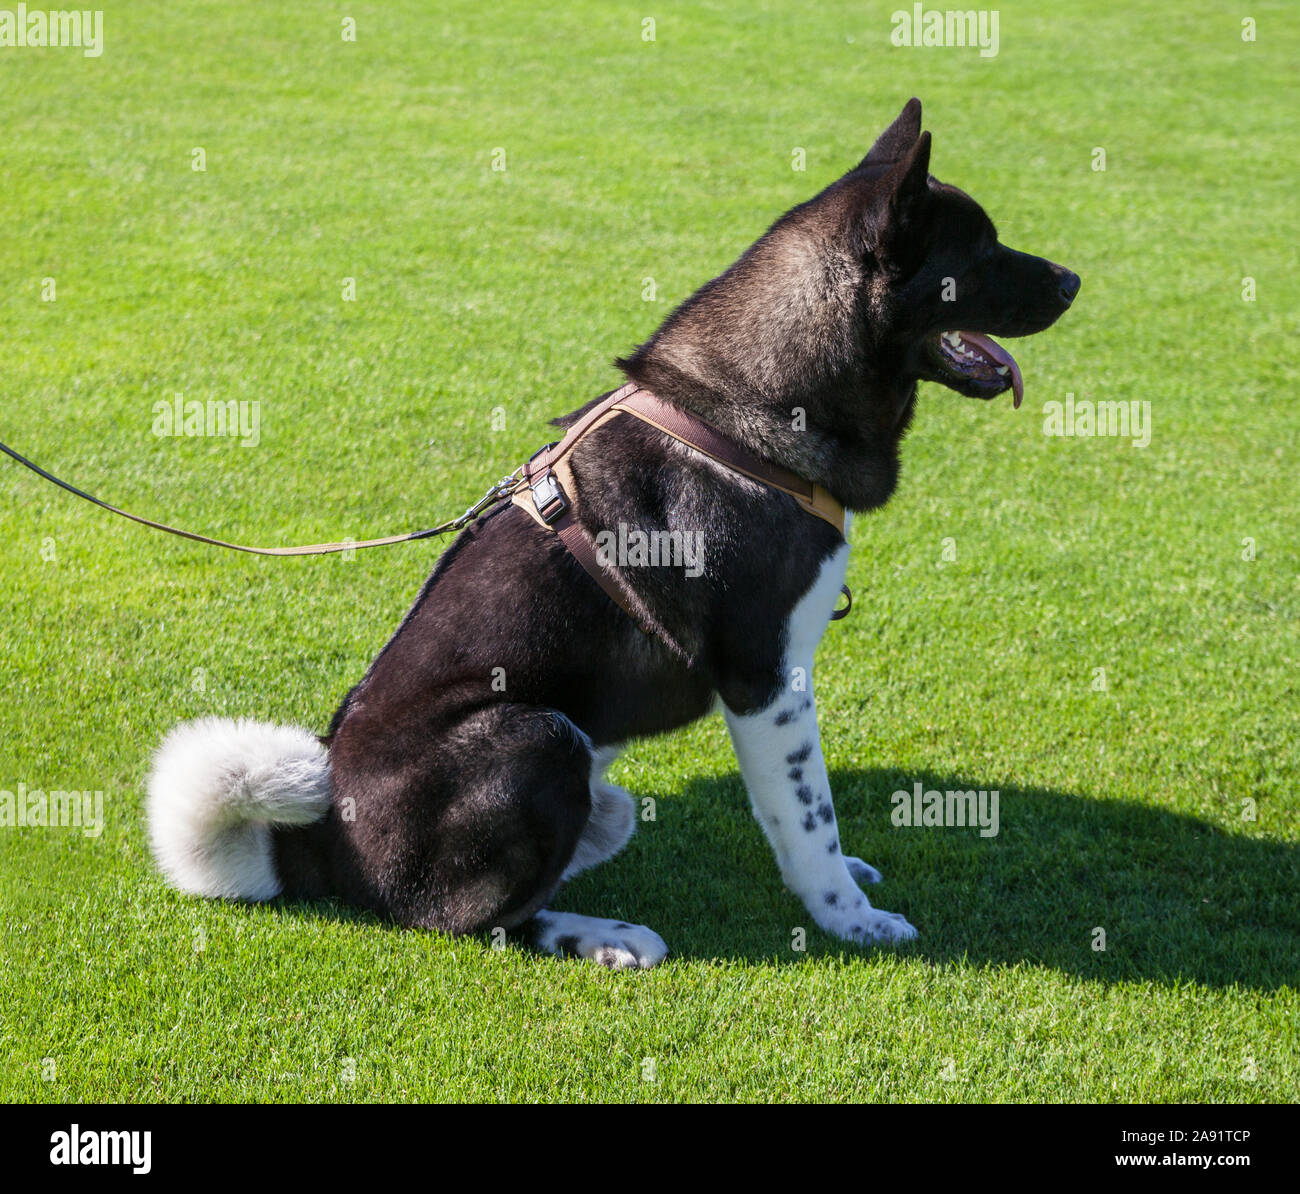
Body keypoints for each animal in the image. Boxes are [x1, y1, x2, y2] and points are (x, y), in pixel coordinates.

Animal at [144, 102, 1076, 972]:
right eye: (982, 251)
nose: (1073, 278)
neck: (745, 413)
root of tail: (318, 845)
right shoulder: (764, 681)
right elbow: (808, 819)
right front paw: (850, 917)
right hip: (537, 734)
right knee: (472, 919)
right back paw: (607, 937)